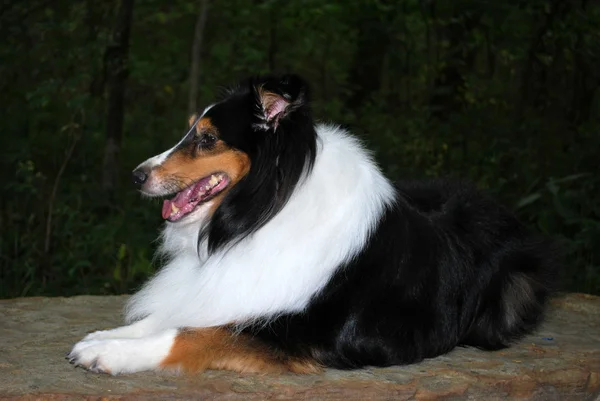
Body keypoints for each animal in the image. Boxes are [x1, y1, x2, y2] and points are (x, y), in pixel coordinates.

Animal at [69, 74, 556, 376]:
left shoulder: (296, 330)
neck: (263, 213)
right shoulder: (225, 292)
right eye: (190, 132)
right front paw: (107, 336)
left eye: (207, 139)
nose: (137, 176)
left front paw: (108, 353)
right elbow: (170, 316)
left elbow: (188, 334)